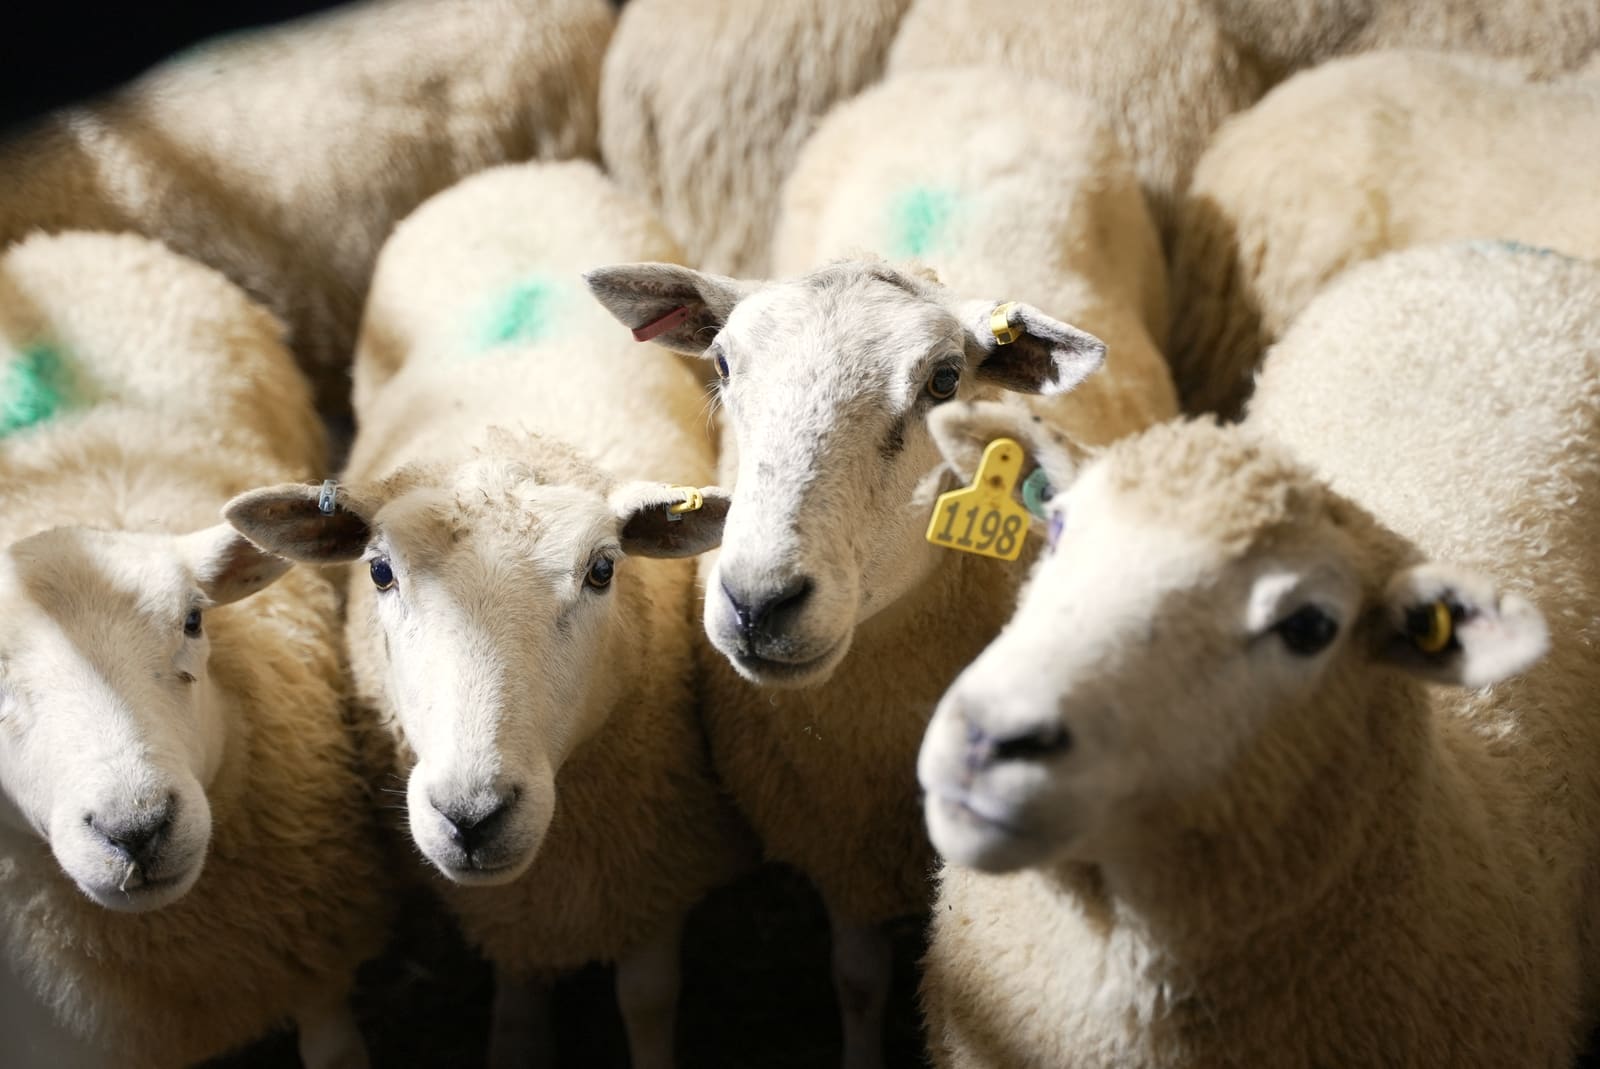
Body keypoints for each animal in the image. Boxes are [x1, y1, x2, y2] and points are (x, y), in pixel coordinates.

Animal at [226, 159, 751, 1069]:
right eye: (379, 570)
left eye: (603, 569)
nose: (472, 814)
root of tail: (525, 169)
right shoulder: (513, 911)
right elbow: (515, 1015)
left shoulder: (658, 861)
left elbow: (648, 999)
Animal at [585, 67, 1176, 1066]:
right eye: (723, 364)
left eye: (943, 381)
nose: (758, 602)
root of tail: (972, 72)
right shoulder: (840, 844)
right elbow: (859, 979)